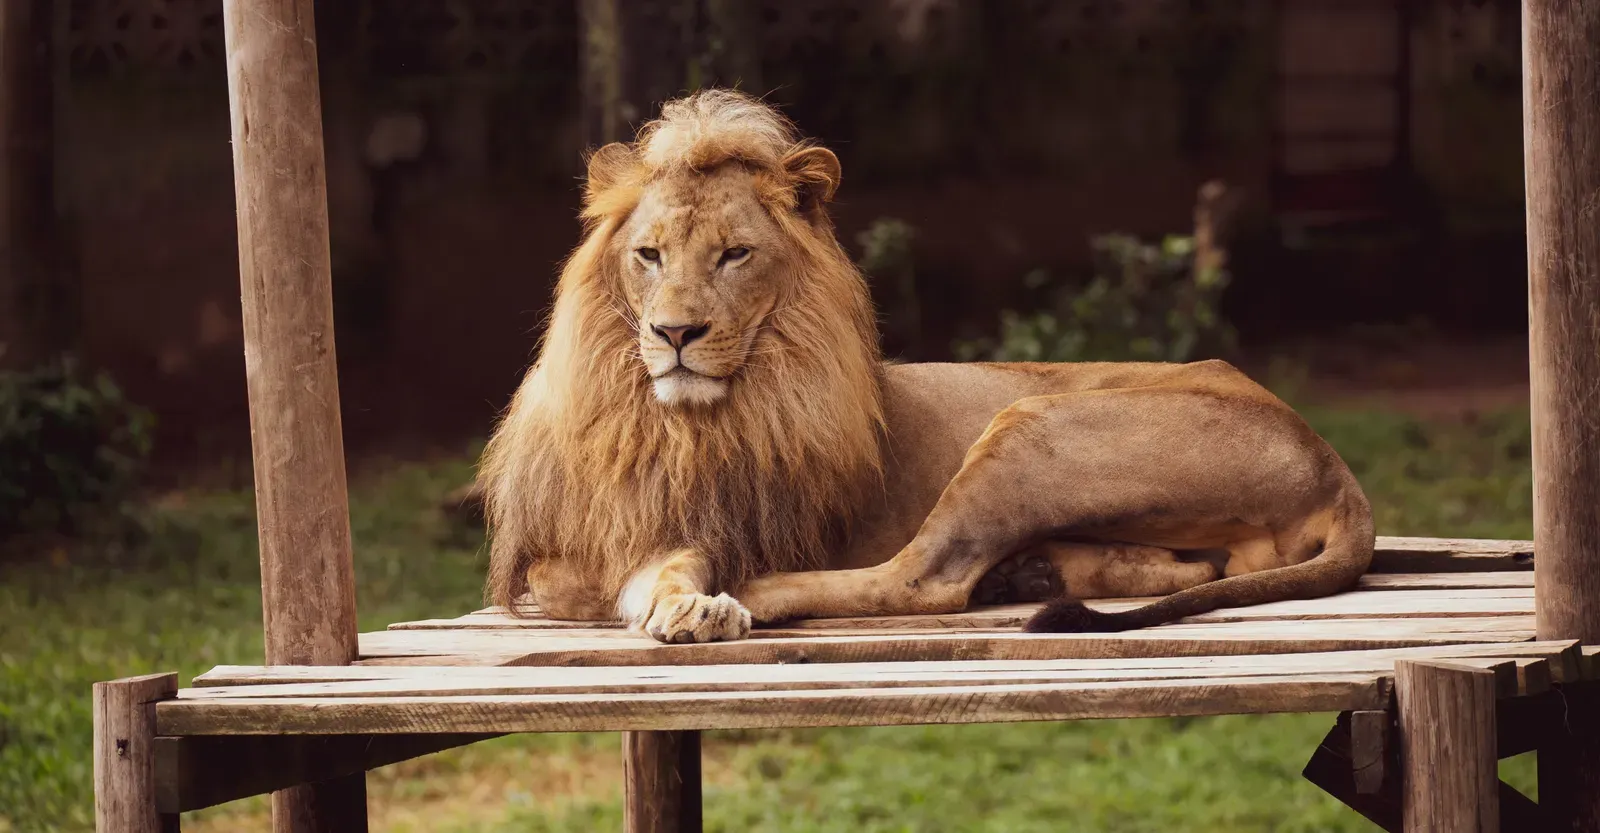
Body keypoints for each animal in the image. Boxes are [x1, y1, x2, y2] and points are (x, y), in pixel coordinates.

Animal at [478, 90, 1375, 645]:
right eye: (649, 255)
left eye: (734, 255)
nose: (673, 332)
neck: (685, 420)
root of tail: (1334, 463)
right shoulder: (580, 538)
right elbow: (586, 577)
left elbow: (659, 569)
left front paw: (705, 599)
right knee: (1195, 564)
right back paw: (1031, 571)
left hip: (1031, 426)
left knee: (923, 578)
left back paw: (766, 590)